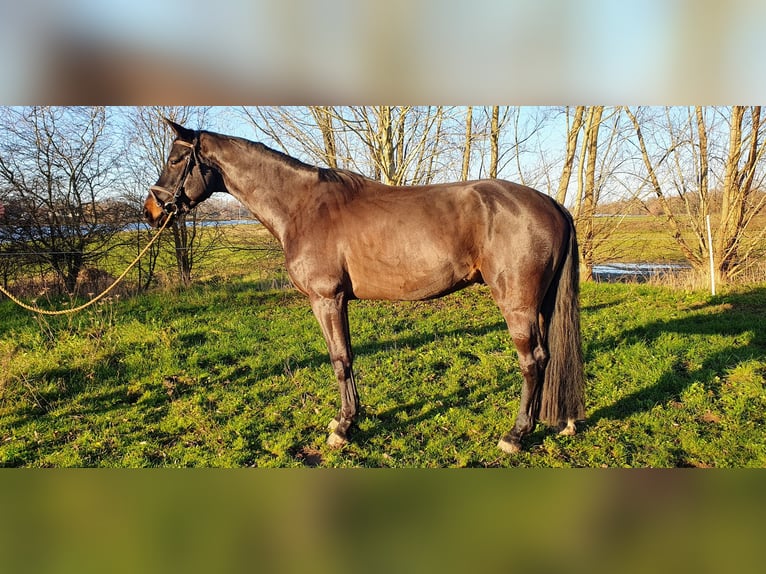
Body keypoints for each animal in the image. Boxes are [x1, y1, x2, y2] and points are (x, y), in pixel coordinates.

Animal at [144, 119, 585, 455]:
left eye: (176, 158)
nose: (150, 211)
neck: (302, 206)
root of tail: (552, 204)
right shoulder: (337, 301)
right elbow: (348, 357)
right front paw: (350, 418)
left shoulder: (326, 299)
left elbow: (340, 360)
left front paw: (343, 427)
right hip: (541, 304)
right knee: (549, 357)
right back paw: (557, 421)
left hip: (517, 304)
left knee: (533, 362)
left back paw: (516, 434)